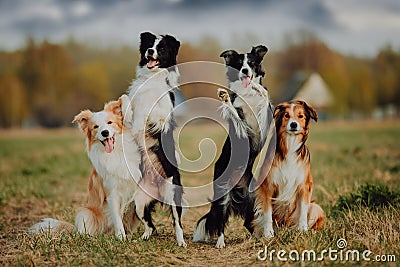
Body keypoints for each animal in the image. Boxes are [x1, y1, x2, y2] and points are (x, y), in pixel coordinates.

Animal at [29, 96, 142, 241]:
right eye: (95, 127)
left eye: (110, 122)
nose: (105, 132)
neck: (116, 152)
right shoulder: (112, 194)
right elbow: (117, 219)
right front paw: (121, 238)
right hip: (85, 212)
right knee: (85, 232)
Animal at [126, 32, 186, 248]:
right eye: (149, 45)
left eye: (161, 49)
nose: (150, 51)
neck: (152, 78)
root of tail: (158, 192)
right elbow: (130, 108)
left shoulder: (162, 115)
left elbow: (150, 115)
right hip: (138, 201)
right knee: (150, 225)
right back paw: (142, 238)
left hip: (173, 194)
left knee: (178, 222)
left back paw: (181, 242)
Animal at [192, 45, 274, 248]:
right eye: (238, 64)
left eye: (251, 63)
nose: (245, 71)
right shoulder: (242, 128)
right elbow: (234, 112)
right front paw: (225, 98)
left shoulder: (264, 122)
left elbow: (264, 96)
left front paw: (259, 88)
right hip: (223, 195)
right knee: (221, 222)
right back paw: (220, 243)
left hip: (252, 196)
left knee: (248, 221)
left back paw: (259, 237)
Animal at [253, 100, 324, 239]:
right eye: (286, 115)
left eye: (300, 116)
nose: (293, 124)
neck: (290, 144)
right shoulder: (267, 186)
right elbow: (267, 213)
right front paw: (268, 234)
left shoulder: (304, 186)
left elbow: (303, 211)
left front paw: (303, 230)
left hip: (315, 207)